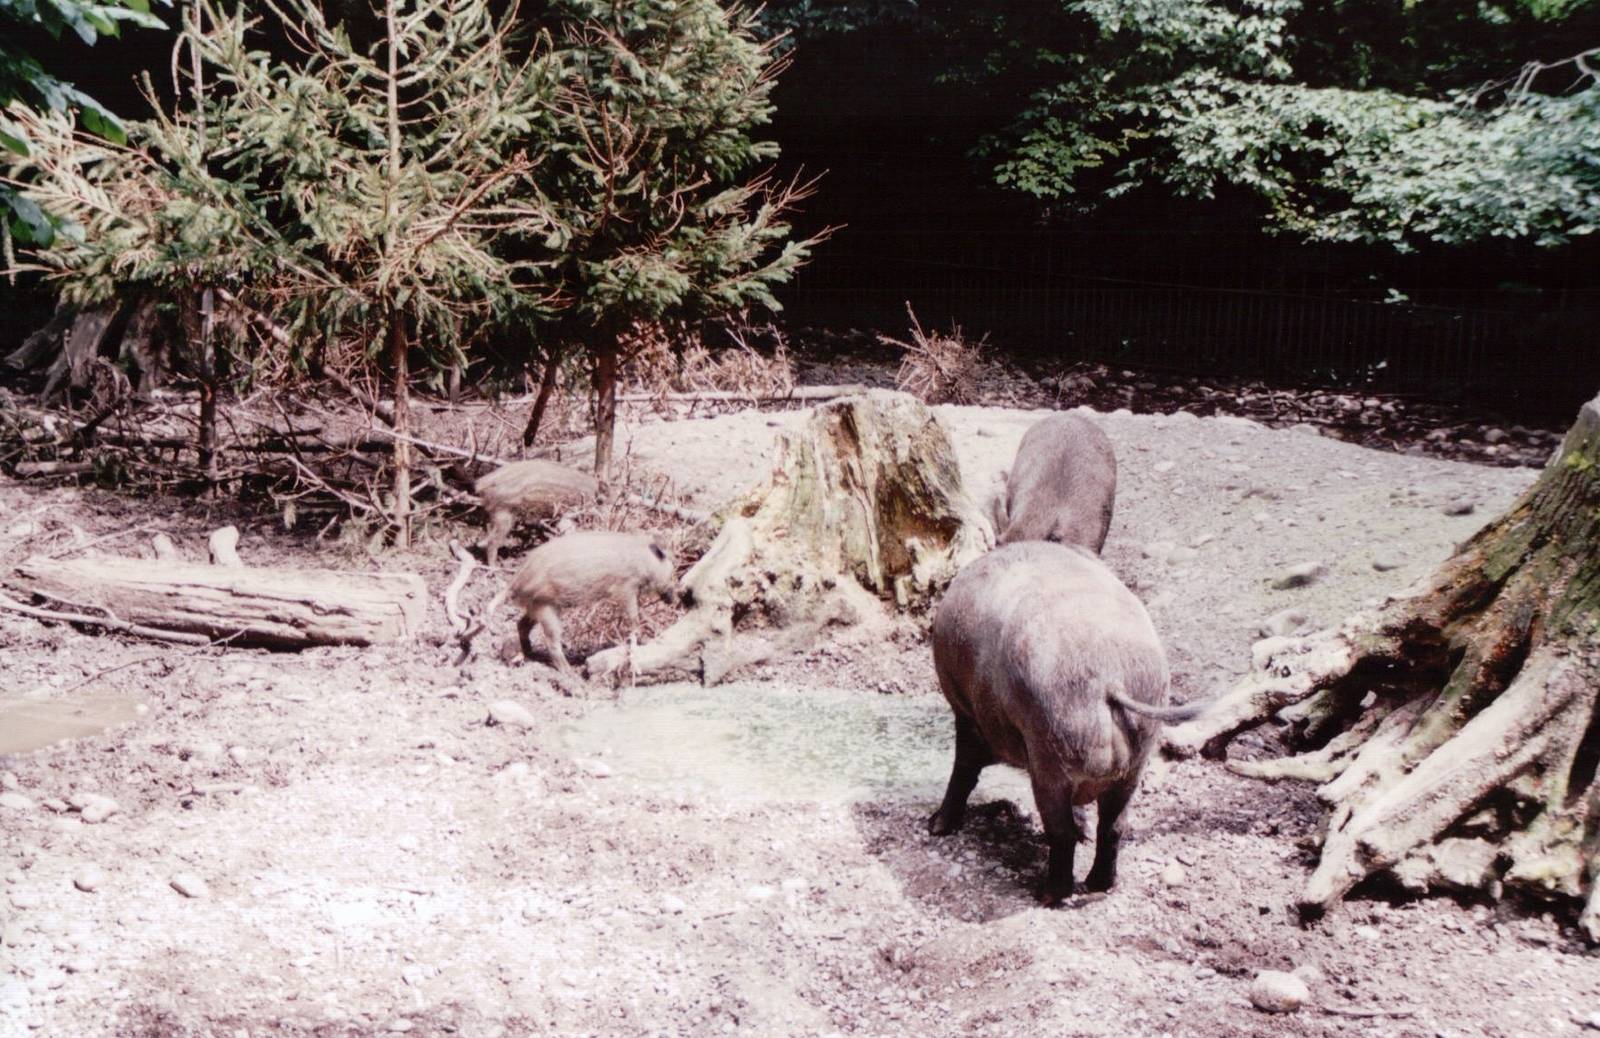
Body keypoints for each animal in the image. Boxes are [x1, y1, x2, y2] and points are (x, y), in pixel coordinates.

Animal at [507, 530, 676, 677]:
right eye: (673, 572)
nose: (677, 598)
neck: (643, 561)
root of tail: (515, 582)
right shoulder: (625, 588)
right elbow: (634, 618)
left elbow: (641, 613)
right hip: (545, 606)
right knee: (551, 641)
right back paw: (571, 674)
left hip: (538, 606)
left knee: (521, 624)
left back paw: (530, 654)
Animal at [927, 541, 1204, 905]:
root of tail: (1108, 677)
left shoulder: (966, 714)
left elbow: (962, 770)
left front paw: (934, 827)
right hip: (1135, 760)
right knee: (1113, 827)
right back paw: (1098, 884)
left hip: (1050, 753)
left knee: (1061, 833)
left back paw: (1047, 894)